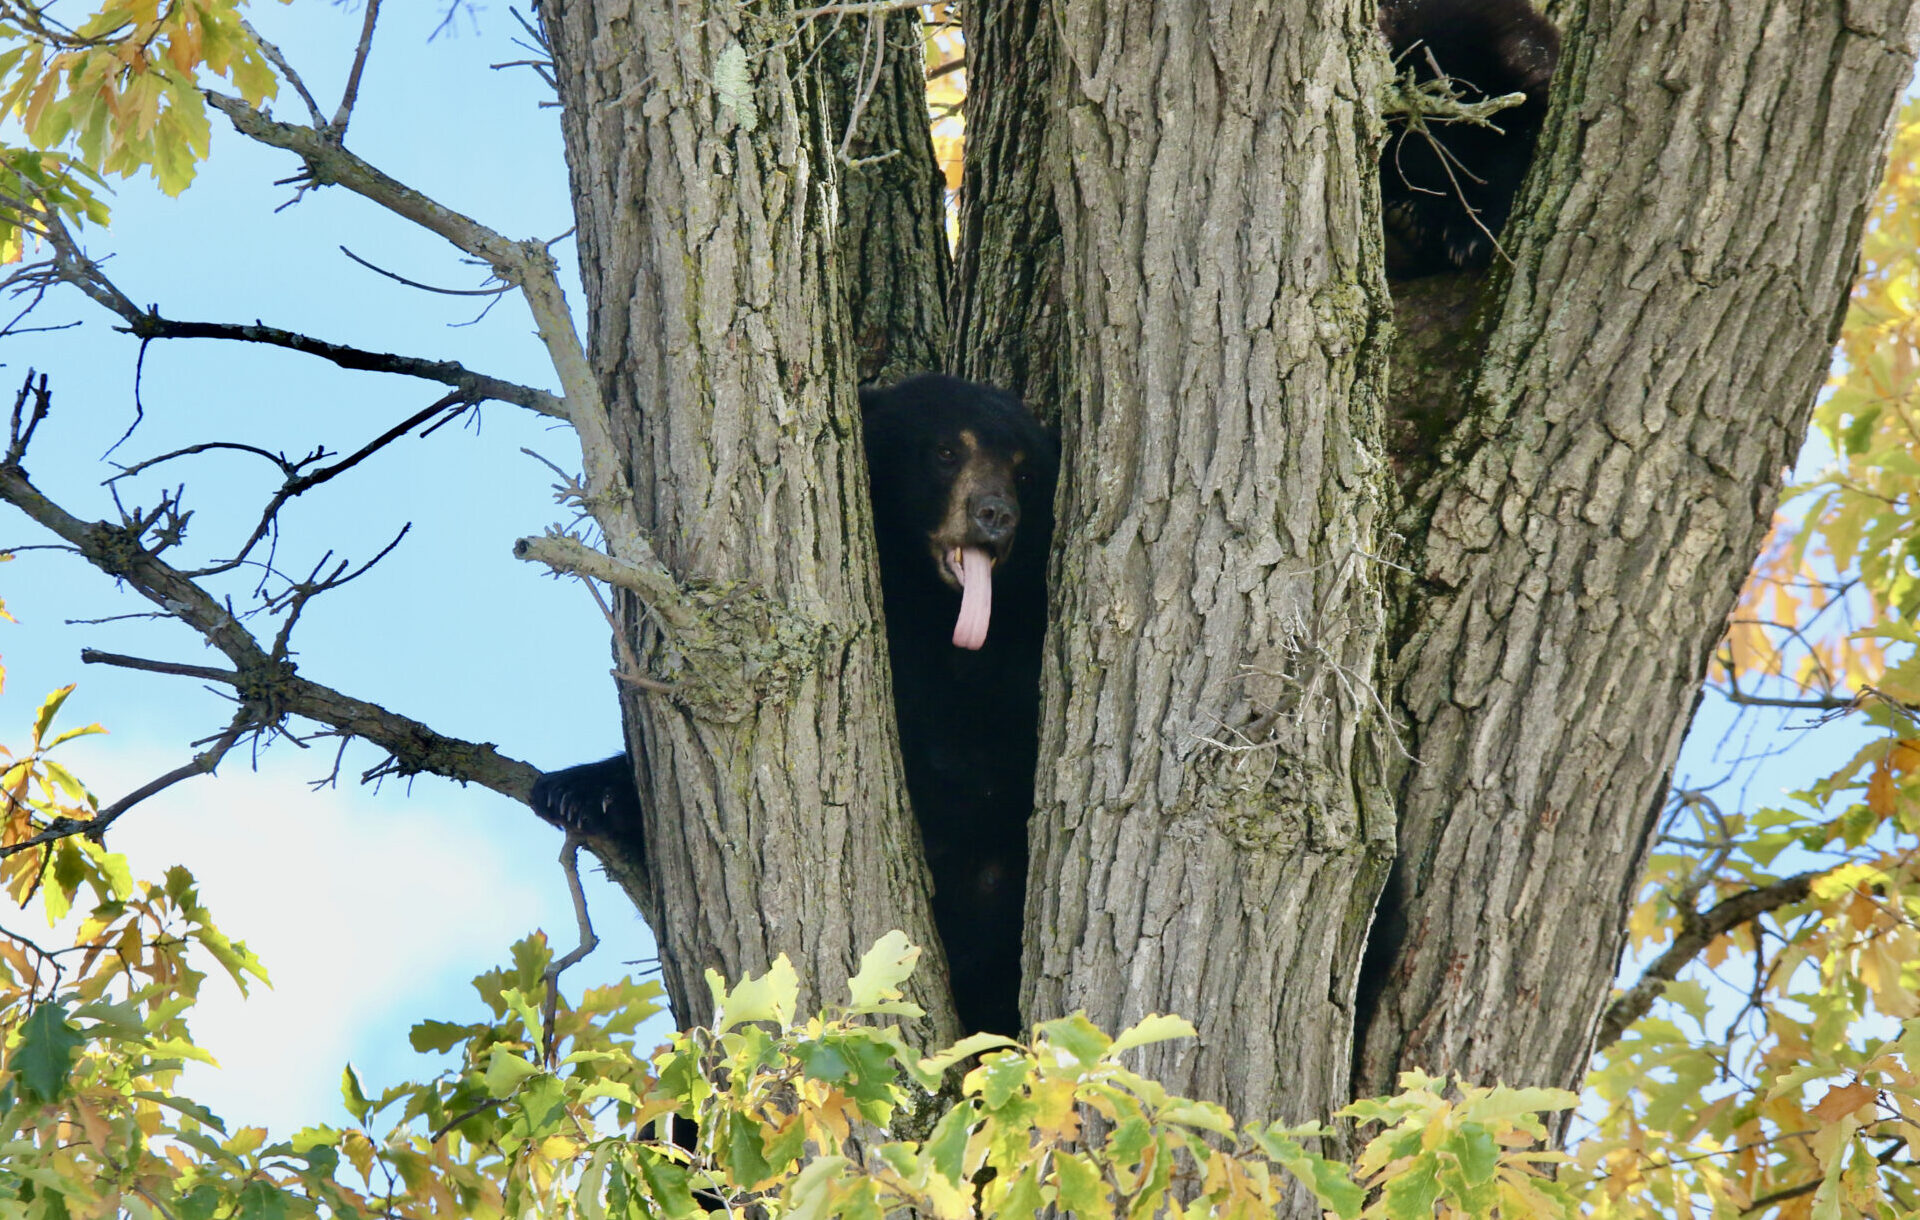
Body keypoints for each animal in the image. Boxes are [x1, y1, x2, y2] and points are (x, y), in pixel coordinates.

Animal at [533, 374, 1057, 1038]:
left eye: (1024, 472)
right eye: (945, 451)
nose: (995, 514)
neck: (934, 612)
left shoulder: (1011, 663)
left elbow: (982, 767)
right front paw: (577, 788)